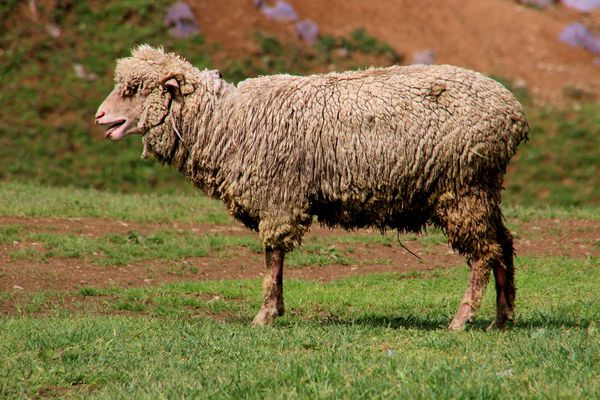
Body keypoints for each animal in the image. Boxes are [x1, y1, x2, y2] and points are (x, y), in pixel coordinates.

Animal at [95, 45, 528, 330]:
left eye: (134, 89)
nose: (99, 117)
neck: (227, 124)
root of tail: (514, 114)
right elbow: (277, 260)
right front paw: (277, 310)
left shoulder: (278, 196)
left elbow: (272, 257)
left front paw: (265, 315)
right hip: (485, 187)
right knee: (504, 244)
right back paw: (502, 318)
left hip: (463, 187)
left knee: (484, 252)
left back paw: (461, 320)